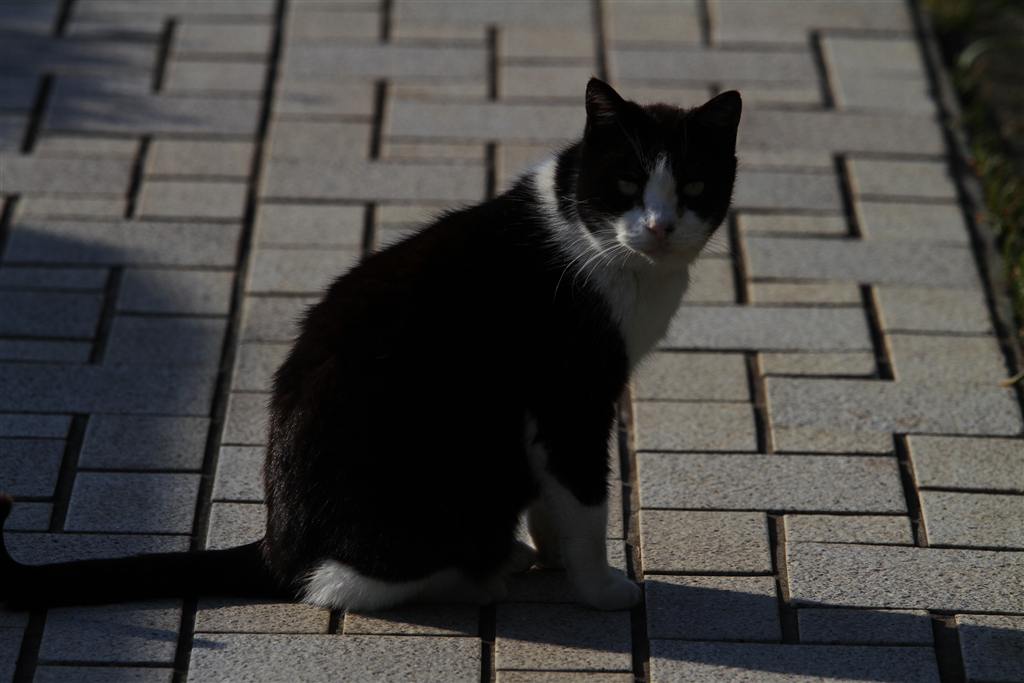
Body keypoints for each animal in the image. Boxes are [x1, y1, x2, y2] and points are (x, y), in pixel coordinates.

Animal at [1, 78, 741, 612]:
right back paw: (485, 570)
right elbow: (585, 501)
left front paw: (552, 547)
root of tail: (276, 545)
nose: (661, 226)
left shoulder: (552, 416)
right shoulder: (571, 395)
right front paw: (602, 588)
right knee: (342, 585)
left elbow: (552, 495)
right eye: (627, 184)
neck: (598, 242)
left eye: (695, 186)